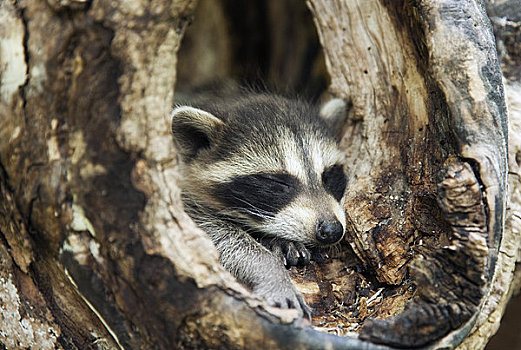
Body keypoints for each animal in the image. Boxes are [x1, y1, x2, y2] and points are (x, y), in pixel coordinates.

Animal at [171, 91, 348, 318]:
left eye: (328, 176)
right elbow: (209, 235)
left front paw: (278, 239)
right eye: (278, 182)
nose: (332, 230)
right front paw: (270, 270)